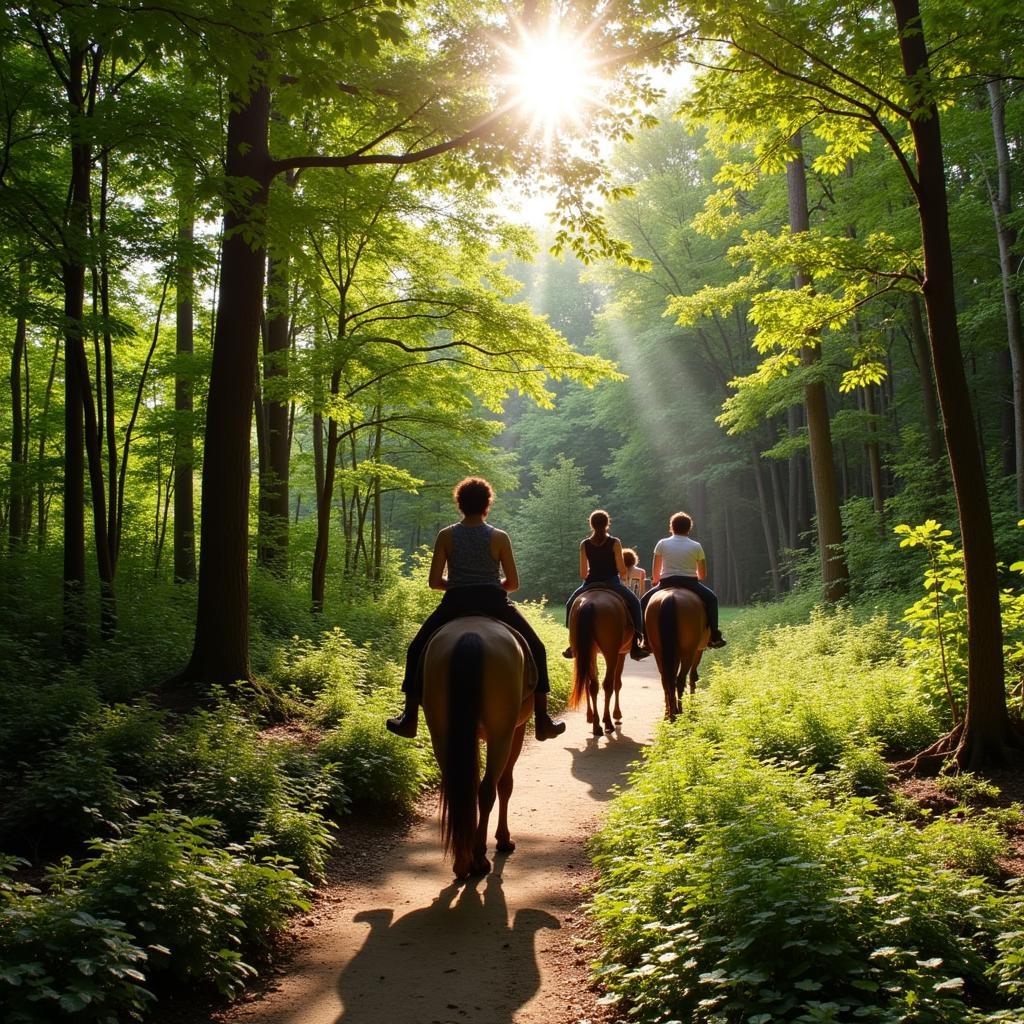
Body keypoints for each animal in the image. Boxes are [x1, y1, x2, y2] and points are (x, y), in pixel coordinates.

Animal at [569, 585, 630, 737]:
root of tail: (589, 603)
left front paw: (590, 717)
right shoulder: (621, 654)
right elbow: (617, 683)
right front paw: (617, 714)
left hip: (586, 652)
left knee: (592, 685)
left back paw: (595, 724)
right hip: (610, 653)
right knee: (607, 685)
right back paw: (607, 722)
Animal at [643, 585, 708, 720]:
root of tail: (670, 597)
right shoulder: (698, 650)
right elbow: (693, 677)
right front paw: (693, 708)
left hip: (659, 651)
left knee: (666, 679)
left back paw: (670, 714)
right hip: (688, 652)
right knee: (680, 680)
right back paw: (679, 713)